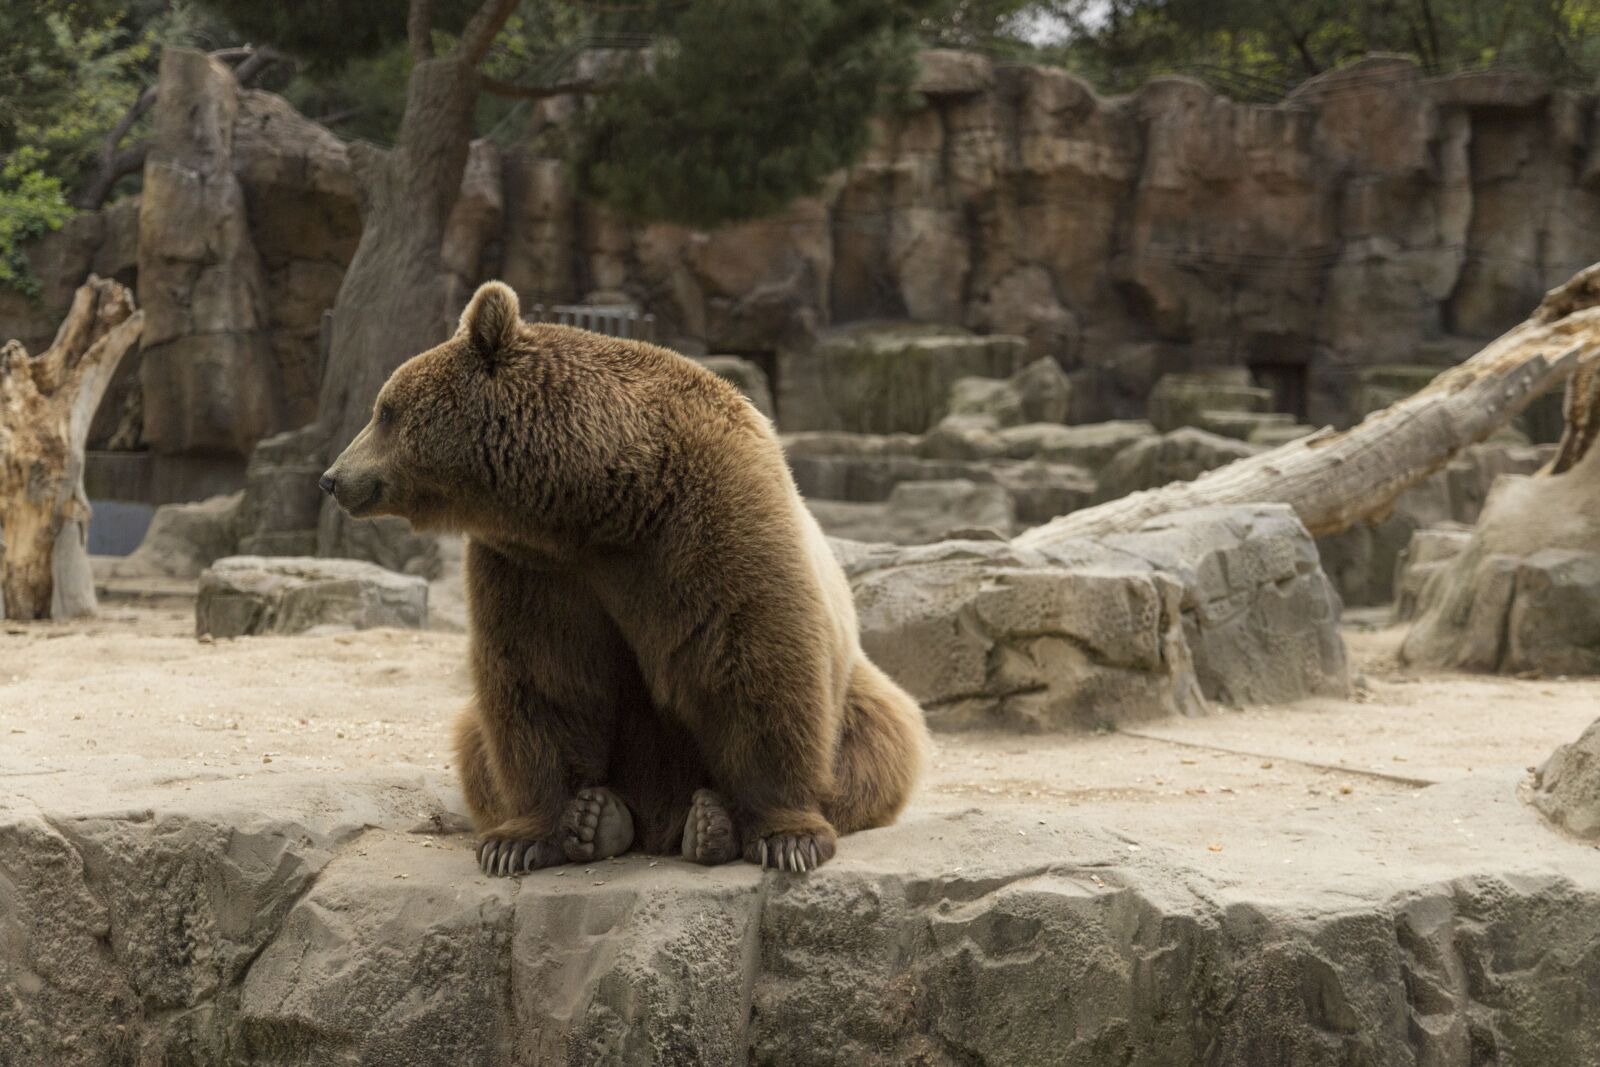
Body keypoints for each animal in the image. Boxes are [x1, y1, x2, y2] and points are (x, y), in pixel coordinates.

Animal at [320, 280, 930, 873]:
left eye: (384, 410)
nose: (332, 477)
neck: (602, 499)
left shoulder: (712, 520)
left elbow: (754, 658)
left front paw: (788, 837)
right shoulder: (534, 568)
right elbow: (543, 678)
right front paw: (527, 837)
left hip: (858, 694)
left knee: (879, 738)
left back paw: (709, 822)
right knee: (475, 740)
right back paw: (609, 820)